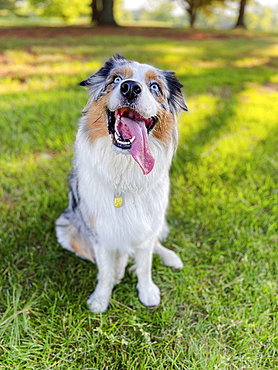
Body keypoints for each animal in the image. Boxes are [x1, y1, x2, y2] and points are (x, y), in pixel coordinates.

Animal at [55, 55, 188, 312]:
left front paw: (147, 292)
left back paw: (171, 257)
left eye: (154, 87)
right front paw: (100, 299)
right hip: (66, 228)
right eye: (116, 79)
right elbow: (105, 269)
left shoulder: (147, 224)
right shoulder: (99, 228)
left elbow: (145, 264)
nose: (130, 87)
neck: (124, 171)